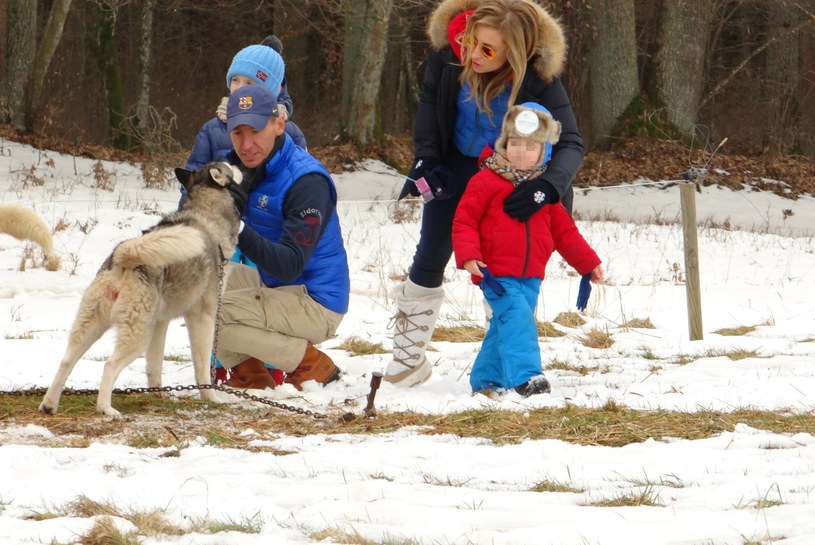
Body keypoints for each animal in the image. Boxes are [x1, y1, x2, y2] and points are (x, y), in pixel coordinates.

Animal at [39, 162, 242, 416]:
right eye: (227, 165)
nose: (238, 163)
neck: (205, 213)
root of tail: (123, 258)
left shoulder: (160, 322)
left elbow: (154, 366)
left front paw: (158, 396)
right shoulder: (202, 318)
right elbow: (203, 368)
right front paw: (211, 397)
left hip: (92, 326)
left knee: (66, 360)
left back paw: (49, 404)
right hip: (137, 336)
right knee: (110, 365)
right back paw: (106, 409)